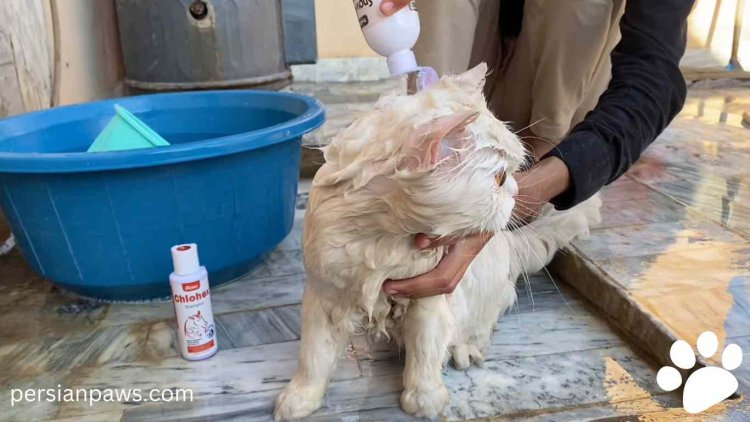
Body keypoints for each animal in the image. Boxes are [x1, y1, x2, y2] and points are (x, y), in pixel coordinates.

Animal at [274, 63, 604, 418]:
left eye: (511, 173)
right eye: (500, 178)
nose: (517, 191)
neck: (382, 239)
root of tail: (508, 244)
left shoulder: (429, 298)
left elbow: (425, 351)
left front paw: (423, 399)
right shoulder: (323, 295)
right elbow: (314, 356)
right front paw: (300, 398)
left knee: (484, 322)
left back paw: (465, 348)